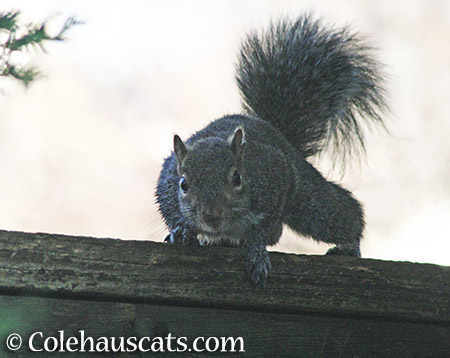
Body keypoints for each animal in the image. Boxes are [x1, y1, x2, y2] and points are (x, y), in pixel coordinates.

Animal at [155, 14, 386, 288]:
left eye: (237, 178)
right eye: (184, 184)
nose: (212, 216)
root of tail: (277, 132)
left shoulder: (274, 177)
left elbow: (266, 231)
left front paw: (256, 251)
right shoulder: (168, 180)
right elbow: (170, 209)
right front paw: (181, 232)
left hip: (308, 200)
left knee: (342, 213)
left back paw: (350, 246)